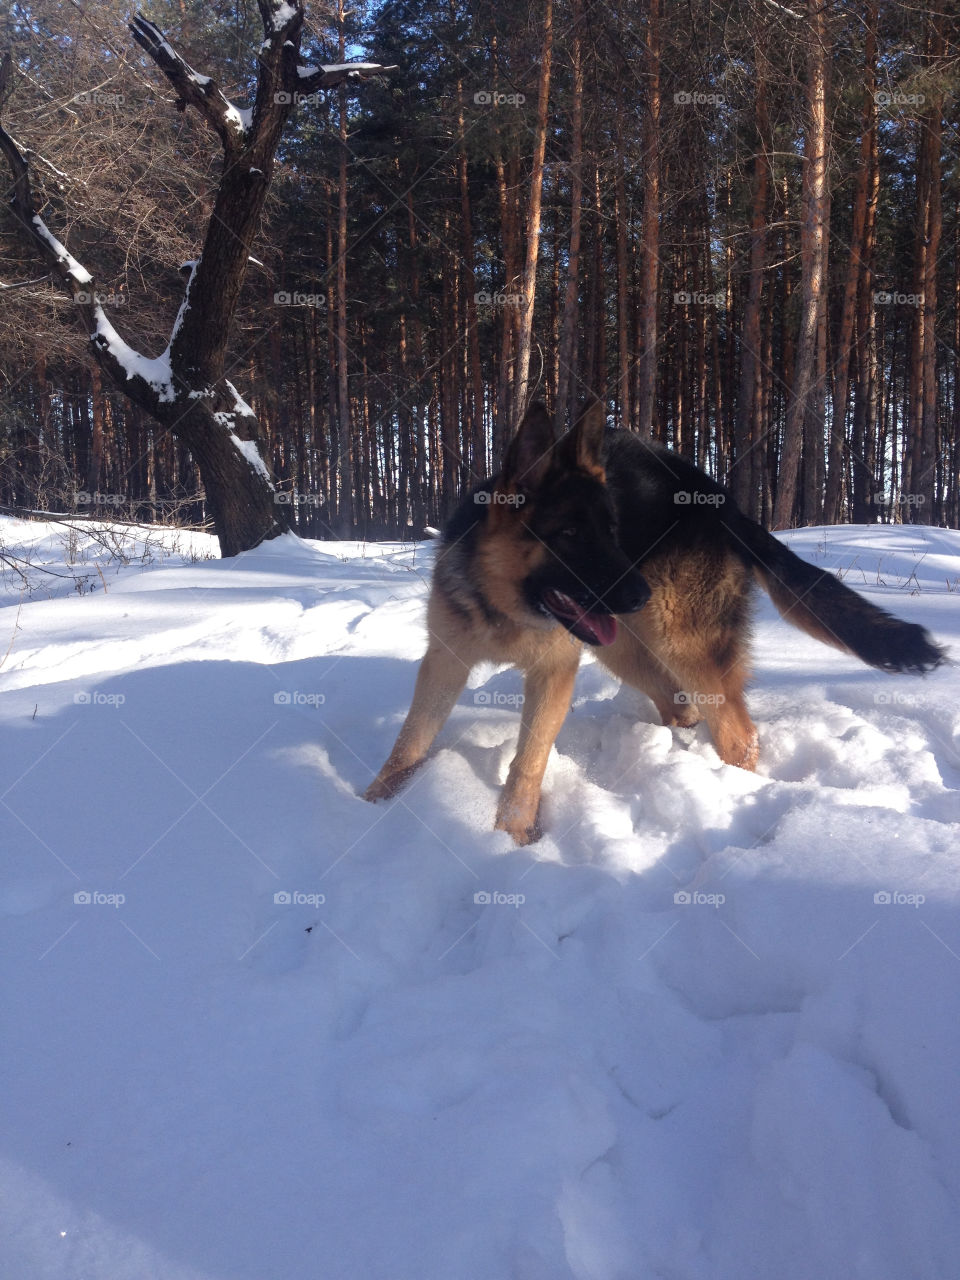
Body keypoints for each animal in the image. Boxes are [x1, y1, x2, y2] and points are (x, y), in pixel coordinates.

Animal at [368, 394, 947, 844]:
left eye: (611, 529)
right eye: (570, 535)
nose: (640, 591)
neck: (507, 606)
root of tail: (723, 502)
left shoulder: (553, 674)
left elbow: (527, 764)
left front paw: (510, 836)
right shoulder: (445, 663)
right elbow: (408, 745)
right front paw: (374, 806)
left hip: (677, 643)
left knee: (739, 734)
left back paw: (735, 791)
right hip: (625, 648)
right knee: (681, 708)